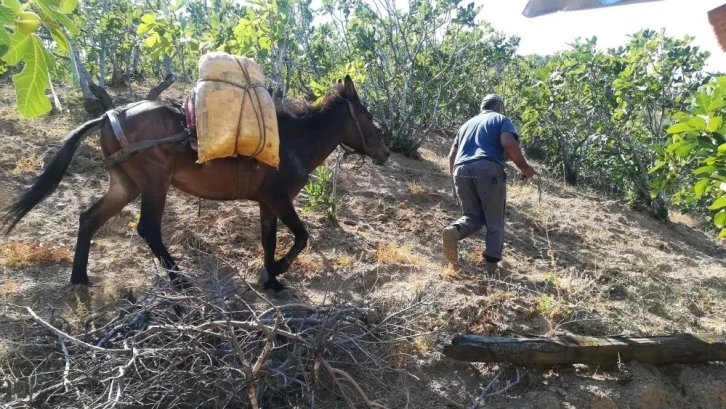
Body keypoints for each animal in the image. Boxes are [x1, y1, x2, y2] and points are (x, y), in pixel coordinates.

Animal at [1, 75, 392, 294]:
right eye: (370, 116)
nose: (386, 152)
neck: (295, 139)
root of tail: (110, 116)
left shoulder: (267, 202)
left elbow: (269, 241)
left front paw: (271, 279)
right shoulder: (280, 199)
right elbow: (300, 237)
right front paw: (275, 271)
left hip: (126, 184)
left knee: (89, 218)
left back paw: (80, 277)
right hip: (153, 183)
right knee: (148, 228)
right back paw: (179, 280)